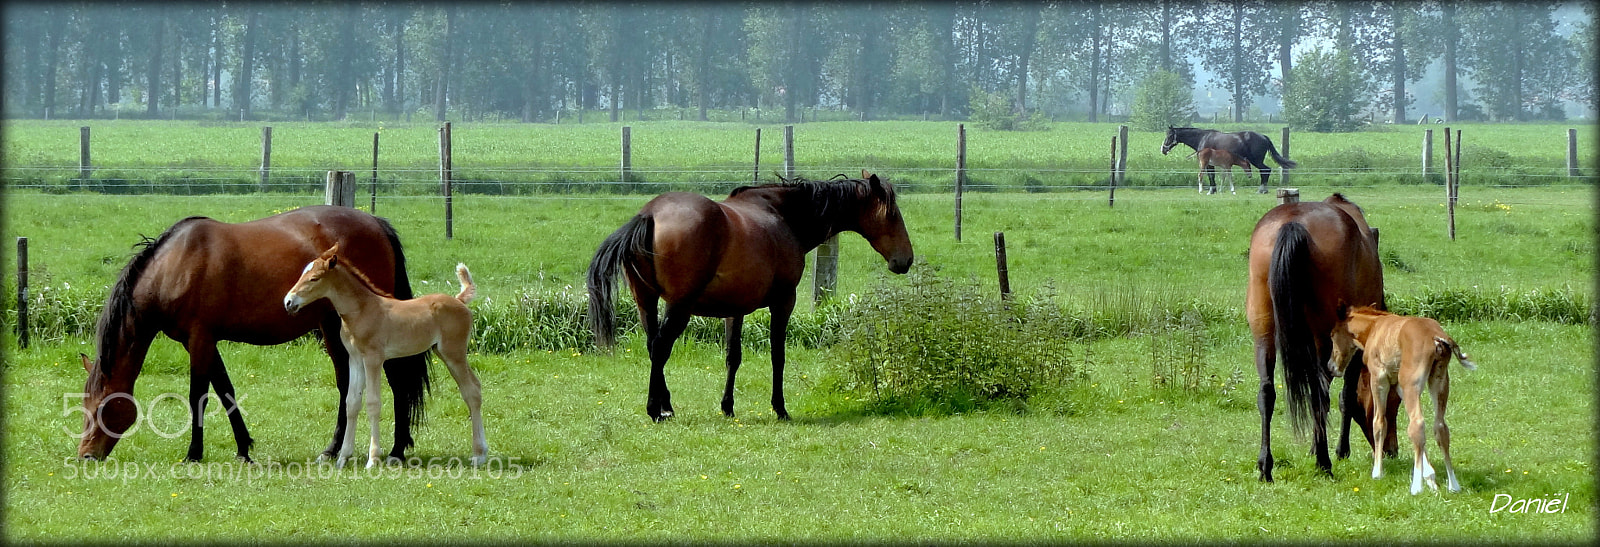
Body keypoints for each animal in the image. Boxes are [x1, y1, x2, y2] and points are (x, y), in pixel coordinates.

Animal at [78, 204, 432, 460]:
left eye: (101, 409)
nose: (86, 456)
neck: (175, 265)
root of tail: (377, 224)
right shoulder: (204, 341)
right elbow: (225, 391)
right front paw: (243, 448)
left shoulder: (199, 338)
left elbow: (198, 396)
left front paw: (193, 453)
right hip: (333, 328)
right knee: (347, 385)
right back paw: (334, 450)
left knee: (397, 382)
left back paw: (397, 450)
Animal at [284, 246, 486, 467]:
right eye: (302, 274)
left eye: (314, 278)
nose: (288, 302)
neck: (362, 310)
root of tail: (459, 300)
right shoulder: (355, 359)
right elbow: (351, 403)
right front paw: (343, 458)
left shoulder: (373, 358)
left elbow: (373, 403)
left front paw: (372, 459)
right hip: (442, 352)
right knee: (472, 388)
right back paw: (482, 452)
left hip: (454, 353)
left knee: (472, 391)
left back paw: (478, 455)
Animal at [588, 171, 915, 422]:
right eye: (892, 214)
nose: (905, 260)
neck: (784, 216)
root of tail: (650, 214)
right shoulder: (783, 302)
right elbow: (778, 355)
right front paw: (780, 408)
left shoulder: (735, 309)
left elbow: (733, 357)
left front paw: (727, 407)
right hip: (678, 306)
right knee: (660, 348)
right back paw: (656, 410)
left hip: (647, 302)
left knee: (652, 346)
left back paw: (666, 405)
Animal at [1241, 193, 1395, 483]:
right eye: (1395, 400)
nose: (1392, 450)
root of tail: (1292, 225)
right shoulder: (1351, 347)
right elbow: (1346, 396)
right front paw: (1339, 450)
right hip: (1322, 336)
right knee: (1319, 395)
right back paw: (1324, 463)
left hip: (1263, 329)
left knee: (1267, 393)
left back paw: (1266, 467)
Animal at [1324, 305, 1472, 492]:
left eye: (1332, 334)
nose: (1330, 366)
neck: (1374, 329)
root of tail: (1436, 337)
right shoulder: (1398, 386)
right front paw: (1430, 477)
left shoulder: (1379, 379)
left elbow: (1379, 422)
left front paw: (1377, 472)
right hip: (1439, 381)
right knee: (1440, 427)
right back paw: (1453, 485)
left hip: (1411, 384)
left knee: (1418, 424)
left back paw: (1416, 487)